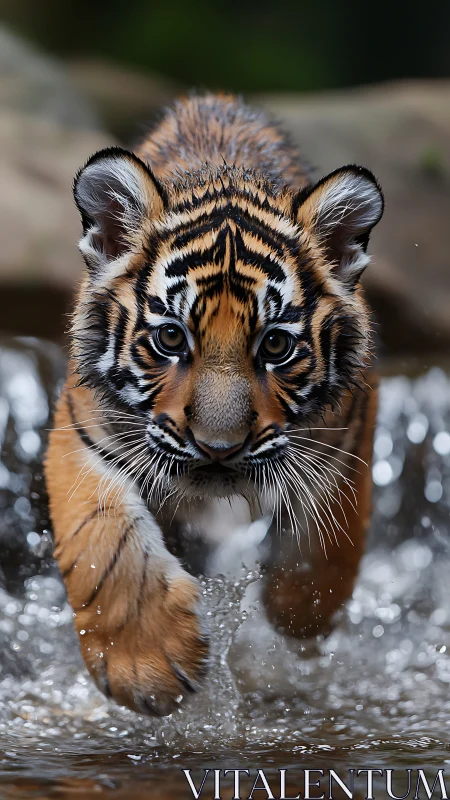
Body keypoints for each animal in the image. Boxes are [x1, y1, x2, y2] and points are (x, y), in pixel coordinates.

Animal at [45, 93, 383, 717]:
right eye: (170, 338)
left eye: (274, 345)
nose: (218, 447)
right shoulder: (84, 435)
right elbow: (104, 543)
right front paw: (147, 672)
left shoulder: (346, 431)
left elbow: (324, 545)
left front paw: (297, 611)